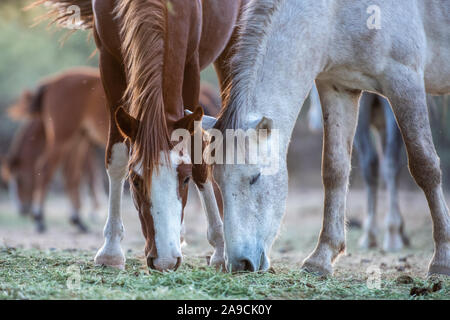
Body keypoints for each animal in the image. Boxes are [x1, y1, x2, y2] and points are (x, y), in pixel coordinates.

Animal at [33, 0, 248, 270]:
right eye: (135, 181)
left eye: (185, 179)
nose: (165, 261)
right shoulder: (109, 62)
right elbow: (116, 158)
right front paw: (111, 251)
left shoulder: (191, 65)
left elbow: (199, 158)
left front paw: (220, 250)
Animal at [211, 0, 450, 276]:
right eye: (218, 182)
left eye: (255, 177)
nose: (240, 264)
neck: (334, 11)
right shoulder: (338, 87)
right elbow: (335, 170)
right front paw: (321, 257)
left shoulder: (405, 79)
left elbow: (425, 166)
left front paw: (442, 258)